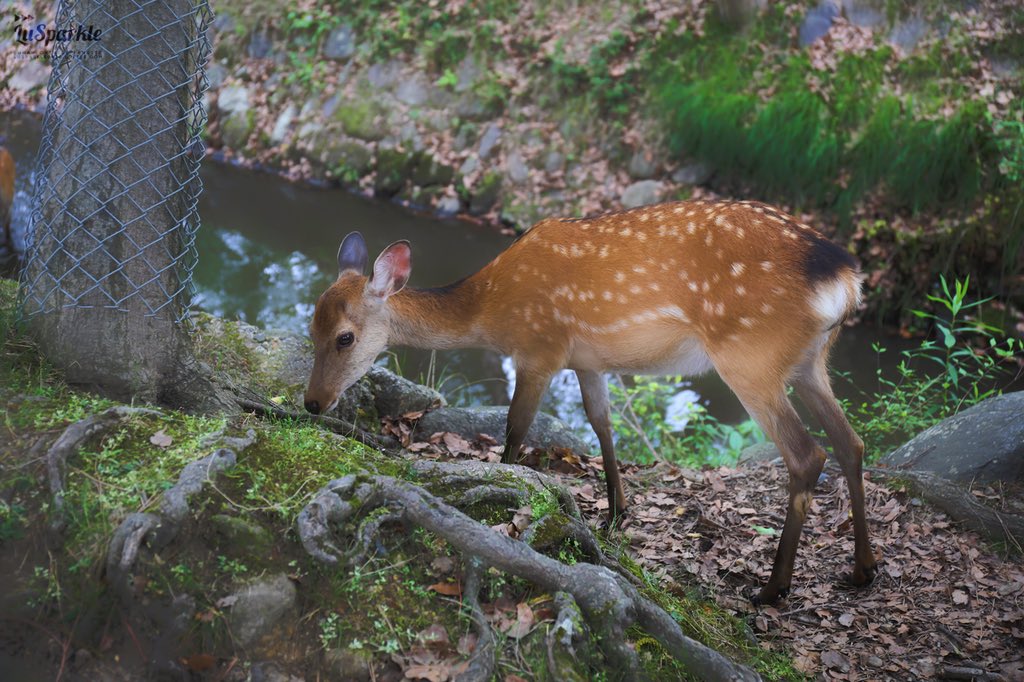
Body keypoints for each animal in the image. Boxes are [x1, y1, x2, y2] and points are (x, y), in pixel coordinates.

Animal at [304, 199, 877, 605]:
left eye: (345, 337)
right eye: (311, 327)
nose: (311, 403)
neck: (491, 310)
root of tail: (844, 278)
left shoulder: (540, 348)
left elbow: (516, 429)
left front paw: (508, 497)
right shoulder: (588, 359)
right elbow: (601, 424)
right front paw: (617, 514)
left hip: (750, 355)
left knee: (808, 454)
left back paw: (773, 589)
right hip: (810, 361)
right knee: (852, 442)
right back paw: (862, 571)